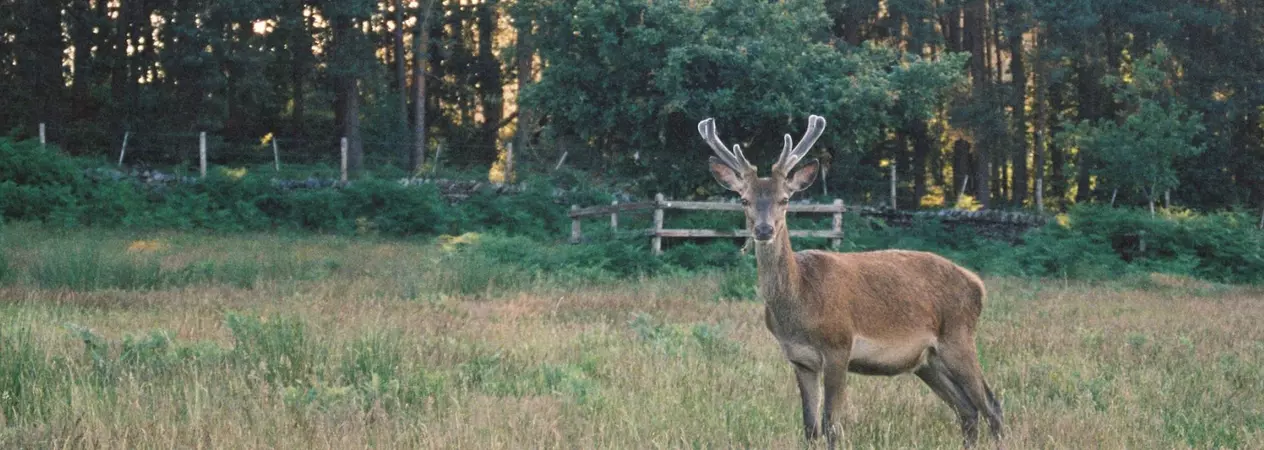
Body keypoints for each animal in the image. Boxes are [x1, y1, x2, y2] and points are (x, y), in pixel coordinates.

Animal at [698, 115, 1004, 449]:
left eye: (785, 199)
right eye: (744, 200)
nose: (764, 230)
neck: (800, 302)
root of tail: (977, 284)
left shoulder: (839, 346)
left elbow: (832, 425)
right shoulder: (799, 359)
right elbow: (810, 427)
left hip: (958, 337)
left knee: (991, 404)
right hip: (928, 361)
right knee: (967, 410)